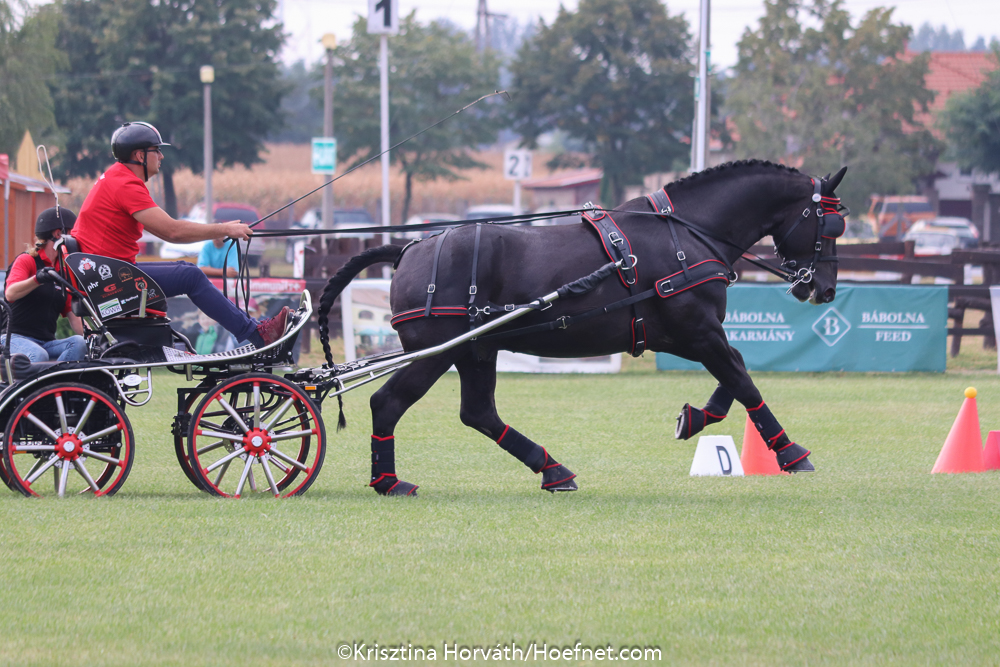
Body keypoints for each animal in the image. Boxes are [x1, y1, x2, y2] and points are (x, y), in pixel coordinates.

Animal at [317, 160, 848, 496]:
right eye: (830, 225)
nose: (823, 289)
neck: (685, 233)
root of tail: (409, 249)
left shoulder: (688, 335)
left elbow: (733, 379)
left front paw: (695, 417)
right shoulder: (697, 331)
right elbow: (742, 379)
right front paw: (790, 452)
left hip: (475, 349)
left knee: (479, 413)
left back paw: (552, 470)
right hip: (438, 351)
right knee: (388, 403)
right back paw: (388, 481)